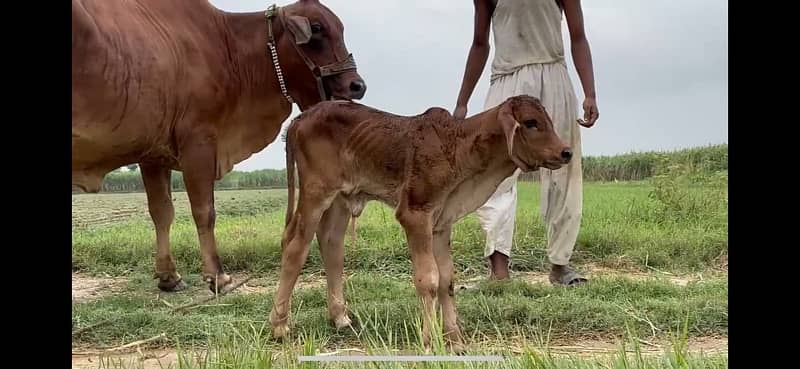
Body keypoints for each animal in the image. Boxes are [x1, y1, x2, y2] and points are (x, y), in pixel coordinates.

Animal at [72, 0, 366, 290]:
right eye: (317, 29)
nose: (357, 86)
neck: (229, 48)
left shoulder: (153, 154)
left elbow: (162, 212)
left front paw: (169, 276)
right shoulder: (199, 142)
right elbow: (204, 211)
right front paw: (217, 275)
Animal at [272, 95, 572, 348]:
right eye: (531, 122)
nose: (566, 152)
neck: (459, 148)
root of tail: (302, 117)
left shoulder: (441, 224)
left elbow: (447, 279)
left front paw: (455, 338)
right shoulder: (415, 215)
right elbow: (428, 279)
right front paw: (430, 339)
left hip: (339, 200)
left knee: (331, 243)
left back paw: (339, 317)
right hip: (315, 192)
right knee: (295, 244)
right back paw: (279, 325)